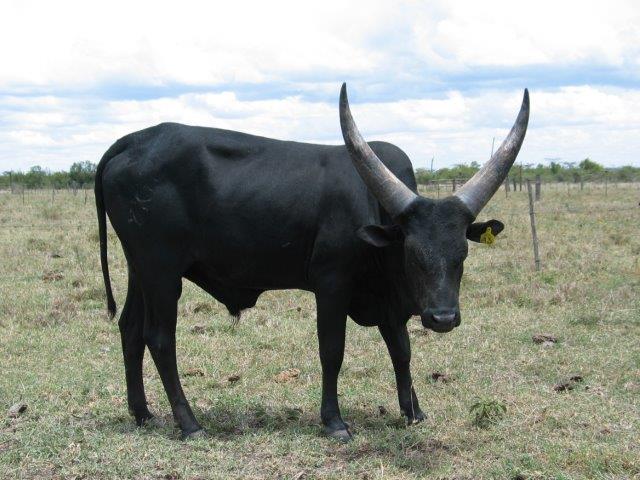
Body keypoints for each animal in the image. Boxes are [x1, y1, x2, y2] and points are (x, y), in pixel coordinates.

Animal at [95, 84, 529, 441]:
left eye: (462, 253)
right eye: (412, 253)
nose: (442, 318)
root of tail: (134, 140)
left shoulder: (389, 302)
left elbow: (401, 350)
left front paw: (413, 411)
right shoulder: (332, 284)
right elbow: (332, 350)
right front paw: (334, 421)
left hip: (139, 269)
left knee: (130, 329)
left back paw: (142, 414)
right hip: (162, 271)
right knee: (159, 338)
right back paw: (189, 424)